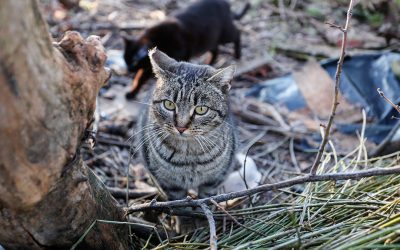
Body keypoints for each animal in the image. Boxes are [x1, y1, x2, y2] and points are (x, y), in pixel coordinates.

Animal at [138, 47, 238, 200]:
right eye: (169, 104)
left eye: (201, 109)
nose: (181, 127)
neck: (189, 154)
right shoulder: (171, 185)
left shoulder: (213, 181)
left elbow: (207, 198)